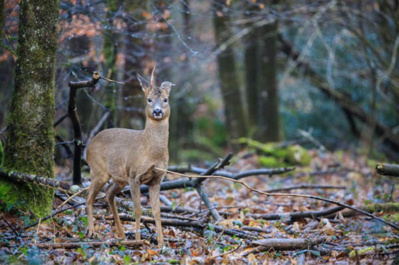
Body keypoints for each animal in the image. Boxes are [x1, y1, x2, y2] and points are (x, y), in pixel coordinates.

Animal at [86, 67, 173, 245]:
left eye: (165, 99)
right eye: (149, 100)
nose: (157, 111)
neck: (151, 152)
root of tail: (88, 146)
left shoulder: (157, 179)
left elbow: (157, 211)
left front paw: (161, 243)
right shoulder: (134, 175)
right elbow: (138, 209)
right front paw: (139, 240)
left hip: (119, 178)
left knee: (108, 193)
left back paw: (122, 235)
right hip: (98, 171)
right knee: (89, 197)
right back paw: (92, 232)